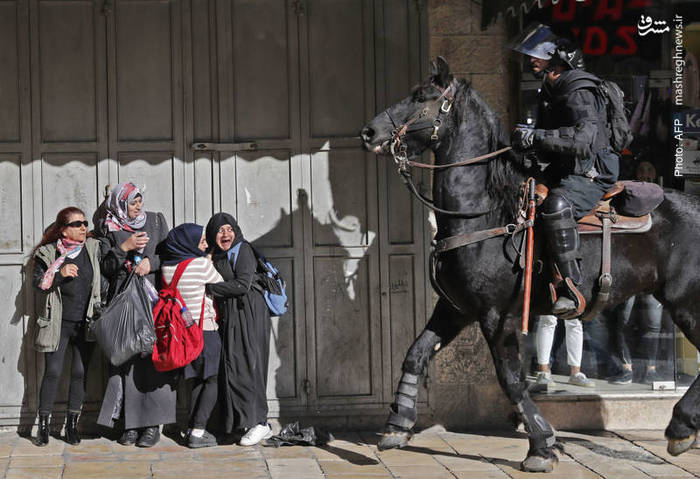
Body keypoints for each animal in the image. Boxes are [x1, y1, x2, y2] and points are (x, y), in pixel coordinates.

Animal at [360, 56, 700, 472]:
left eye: (422, 97)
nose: (369, 131)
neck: (482, 213)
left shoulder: (497, 316)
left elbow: (511, 380)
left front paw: (542, 444)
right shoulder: (456, 308)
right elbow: (415, 353)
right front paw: (397, 424)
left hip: (687, 305)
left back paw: (681, 426)